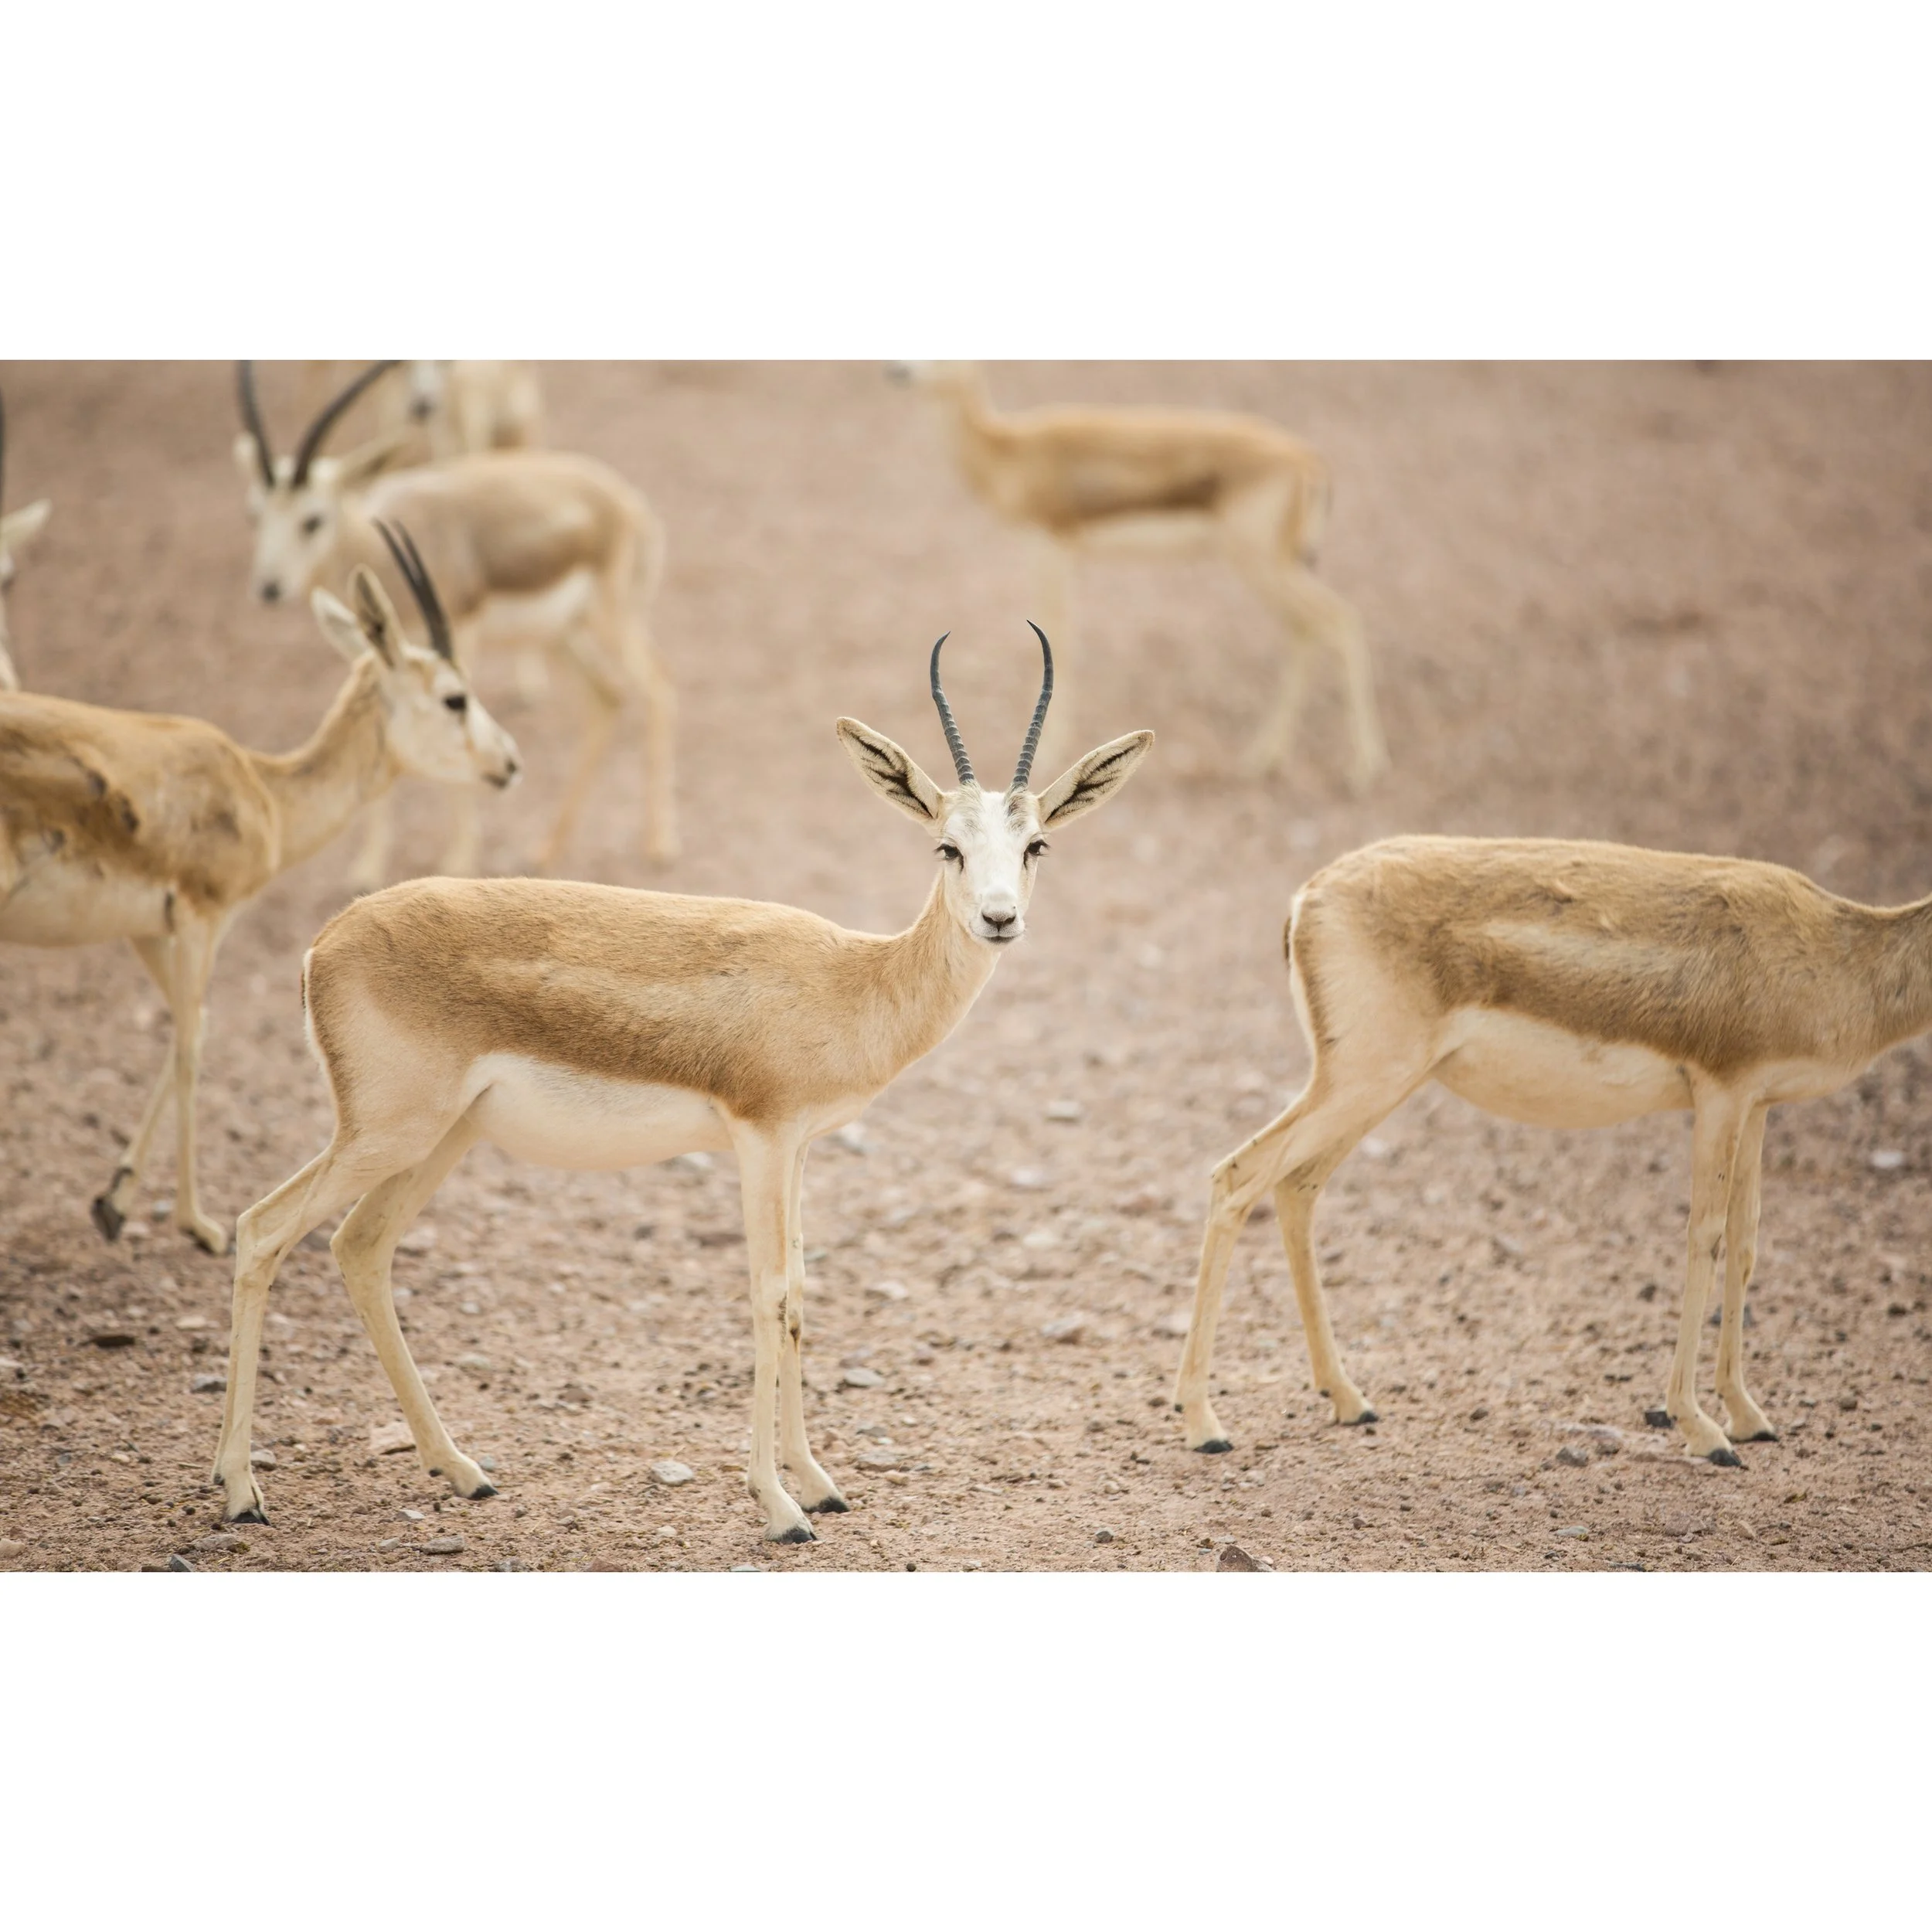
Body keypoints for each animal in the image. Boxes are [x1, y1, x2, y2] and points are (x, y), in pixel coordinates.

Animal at [0, 525, 519, 1254]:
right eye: (455, 697)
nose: (510, 762)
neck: (264, 792)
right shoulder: (203, 916)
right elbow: (191, 1044)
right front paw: (199, 1224)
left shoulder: (148, 930)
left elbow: (190, 1026)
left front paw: (114, 1200)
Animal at [210, 628, 1153, 1539]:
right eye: (947, 845)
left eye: (1035, 843)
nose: (999, 918)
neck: (851, 981)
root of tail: (325, 942)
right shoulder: (760, 1139)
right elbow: (768, 1295)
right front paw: (779, 1509)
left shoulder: (800, 1147)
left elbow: (800, 1292)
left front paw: (820, 1485)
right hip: (385, 1132)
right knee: (261, 1230)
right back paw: (240, 1491)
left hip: (443, 1137)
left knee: (359, 1247)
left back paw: (462, 1469)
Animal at [234, 361, 674, 881]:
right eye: (255, 514)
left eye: (313, 519)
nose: (269, 587)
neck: (369, 541)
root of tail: (629, 502)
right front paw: (368, 868)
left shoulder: (461, 633)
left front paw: (459, 861)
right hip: (562, 635)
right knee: (607, 698)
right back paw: (547, 849)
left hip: (612, 619)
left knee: (658, 689)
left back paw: (659, 844)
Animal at [889, 361, 1386, 790]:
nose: (897, 371)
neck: (1009, 450)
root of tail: (1307, 458)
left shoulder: (1050, 547)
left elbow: (1059, 636)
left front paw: (1052, 751)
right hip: (1271, 569)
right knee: (1305, 630)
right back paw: (1266, 756)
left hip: (1263, 565)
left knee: (1340, 621)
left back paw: (1362, 768)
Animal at [1173, 834, 1932, 1468]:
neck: (1836, 951)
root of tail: (1310, 896)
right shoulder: (1720, 1094)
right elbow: (1704, 1242)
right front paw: (1702, 1429)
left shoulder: (1758, 1107)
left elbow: (1744, 1246)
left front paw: (1748, 1415)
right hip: (1363, 1080)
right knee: (1237, 1176)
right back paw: (1205, 1423)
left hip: (1376, 1088)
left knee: (1295, 1186)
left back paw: (1349, 1400)